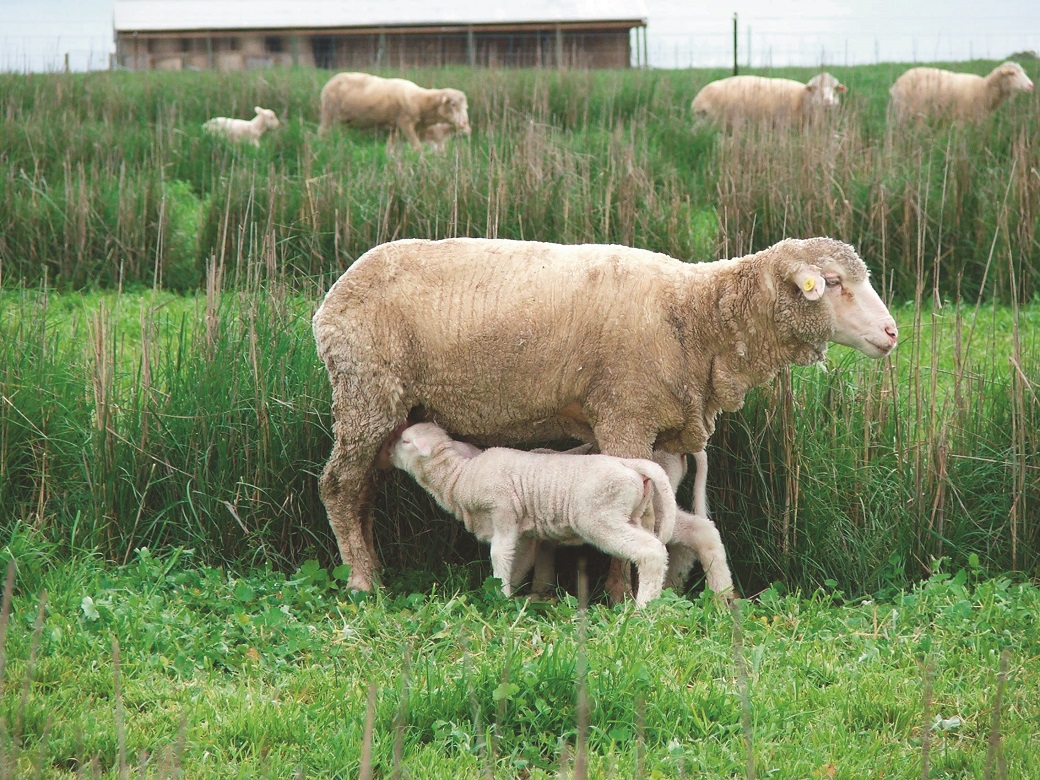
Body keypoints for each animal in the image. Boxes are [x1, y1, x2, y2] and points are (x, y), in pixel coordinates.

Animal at [316, 71, 472, 150]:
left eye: (466, 107)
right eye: (452, 104)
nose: (464, 124)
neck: (420, 101)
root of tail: (330, 81)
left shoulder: (395, 126)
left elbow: (391, 146)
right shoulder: (405, 123)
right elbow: (417, 147)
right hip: (329, 113)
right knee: (322, 132)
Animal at [388, 424, 673, 607]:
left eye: (405, 441)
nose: (386, 453)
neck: (460, 476)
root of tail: (630, 463)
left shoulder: (503, 512)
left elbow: (500, 555)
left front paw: (500, 598)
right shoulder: (523, 533)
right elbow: (520, 561)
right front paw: (507, 593)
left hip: (600, 518)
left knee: (651, 551)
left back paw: (644, 607)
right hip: (633, 516)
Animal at [690, 72, 844, 127]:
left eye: (835, 88)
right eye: (815, 88)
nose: (828, 101)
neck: (802, 98)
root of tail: (698, 98)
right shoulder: (783, 125)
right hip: (710, 120)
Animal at [890, 61, 1035, 122]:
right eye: (1012, 74)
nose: (1031, 85)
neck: (984, 88)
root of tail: (897, 82)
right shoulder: (962, 117)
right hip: (907, 111)